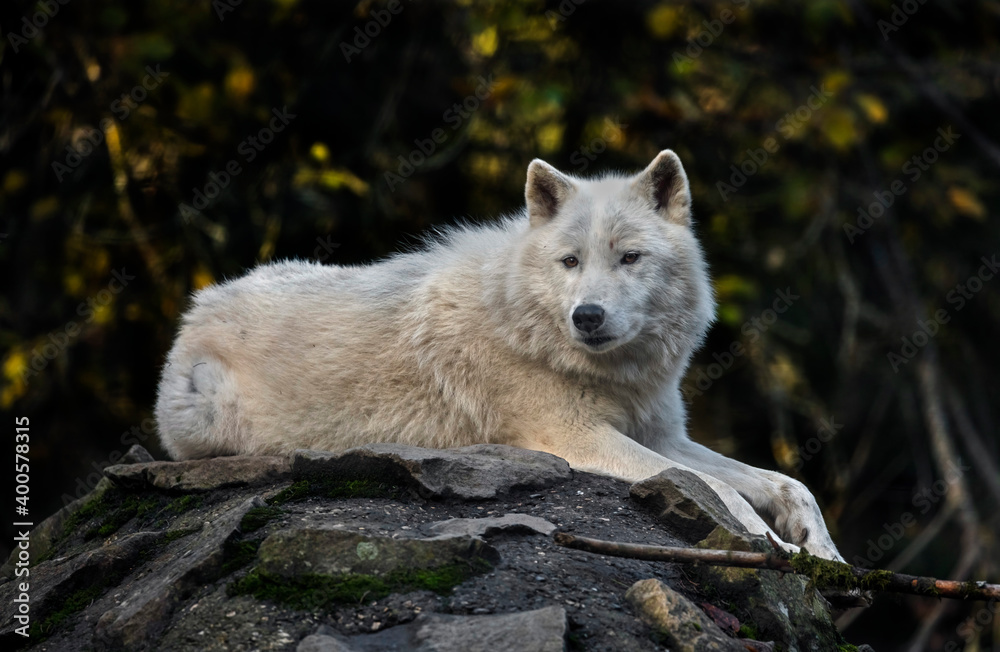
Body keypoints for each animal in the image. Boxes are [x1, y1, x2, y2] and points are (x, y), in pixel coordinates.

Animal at [155, 150, 843, 561]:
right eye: (569, 262)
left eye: (629, 257)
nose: (587, 316)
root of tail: (198, 307)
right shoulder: (580, 439)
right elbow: (716, 489)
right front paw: (773, 549)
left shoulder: (662, 436)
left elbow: (788, 483)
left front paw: (824, 553)